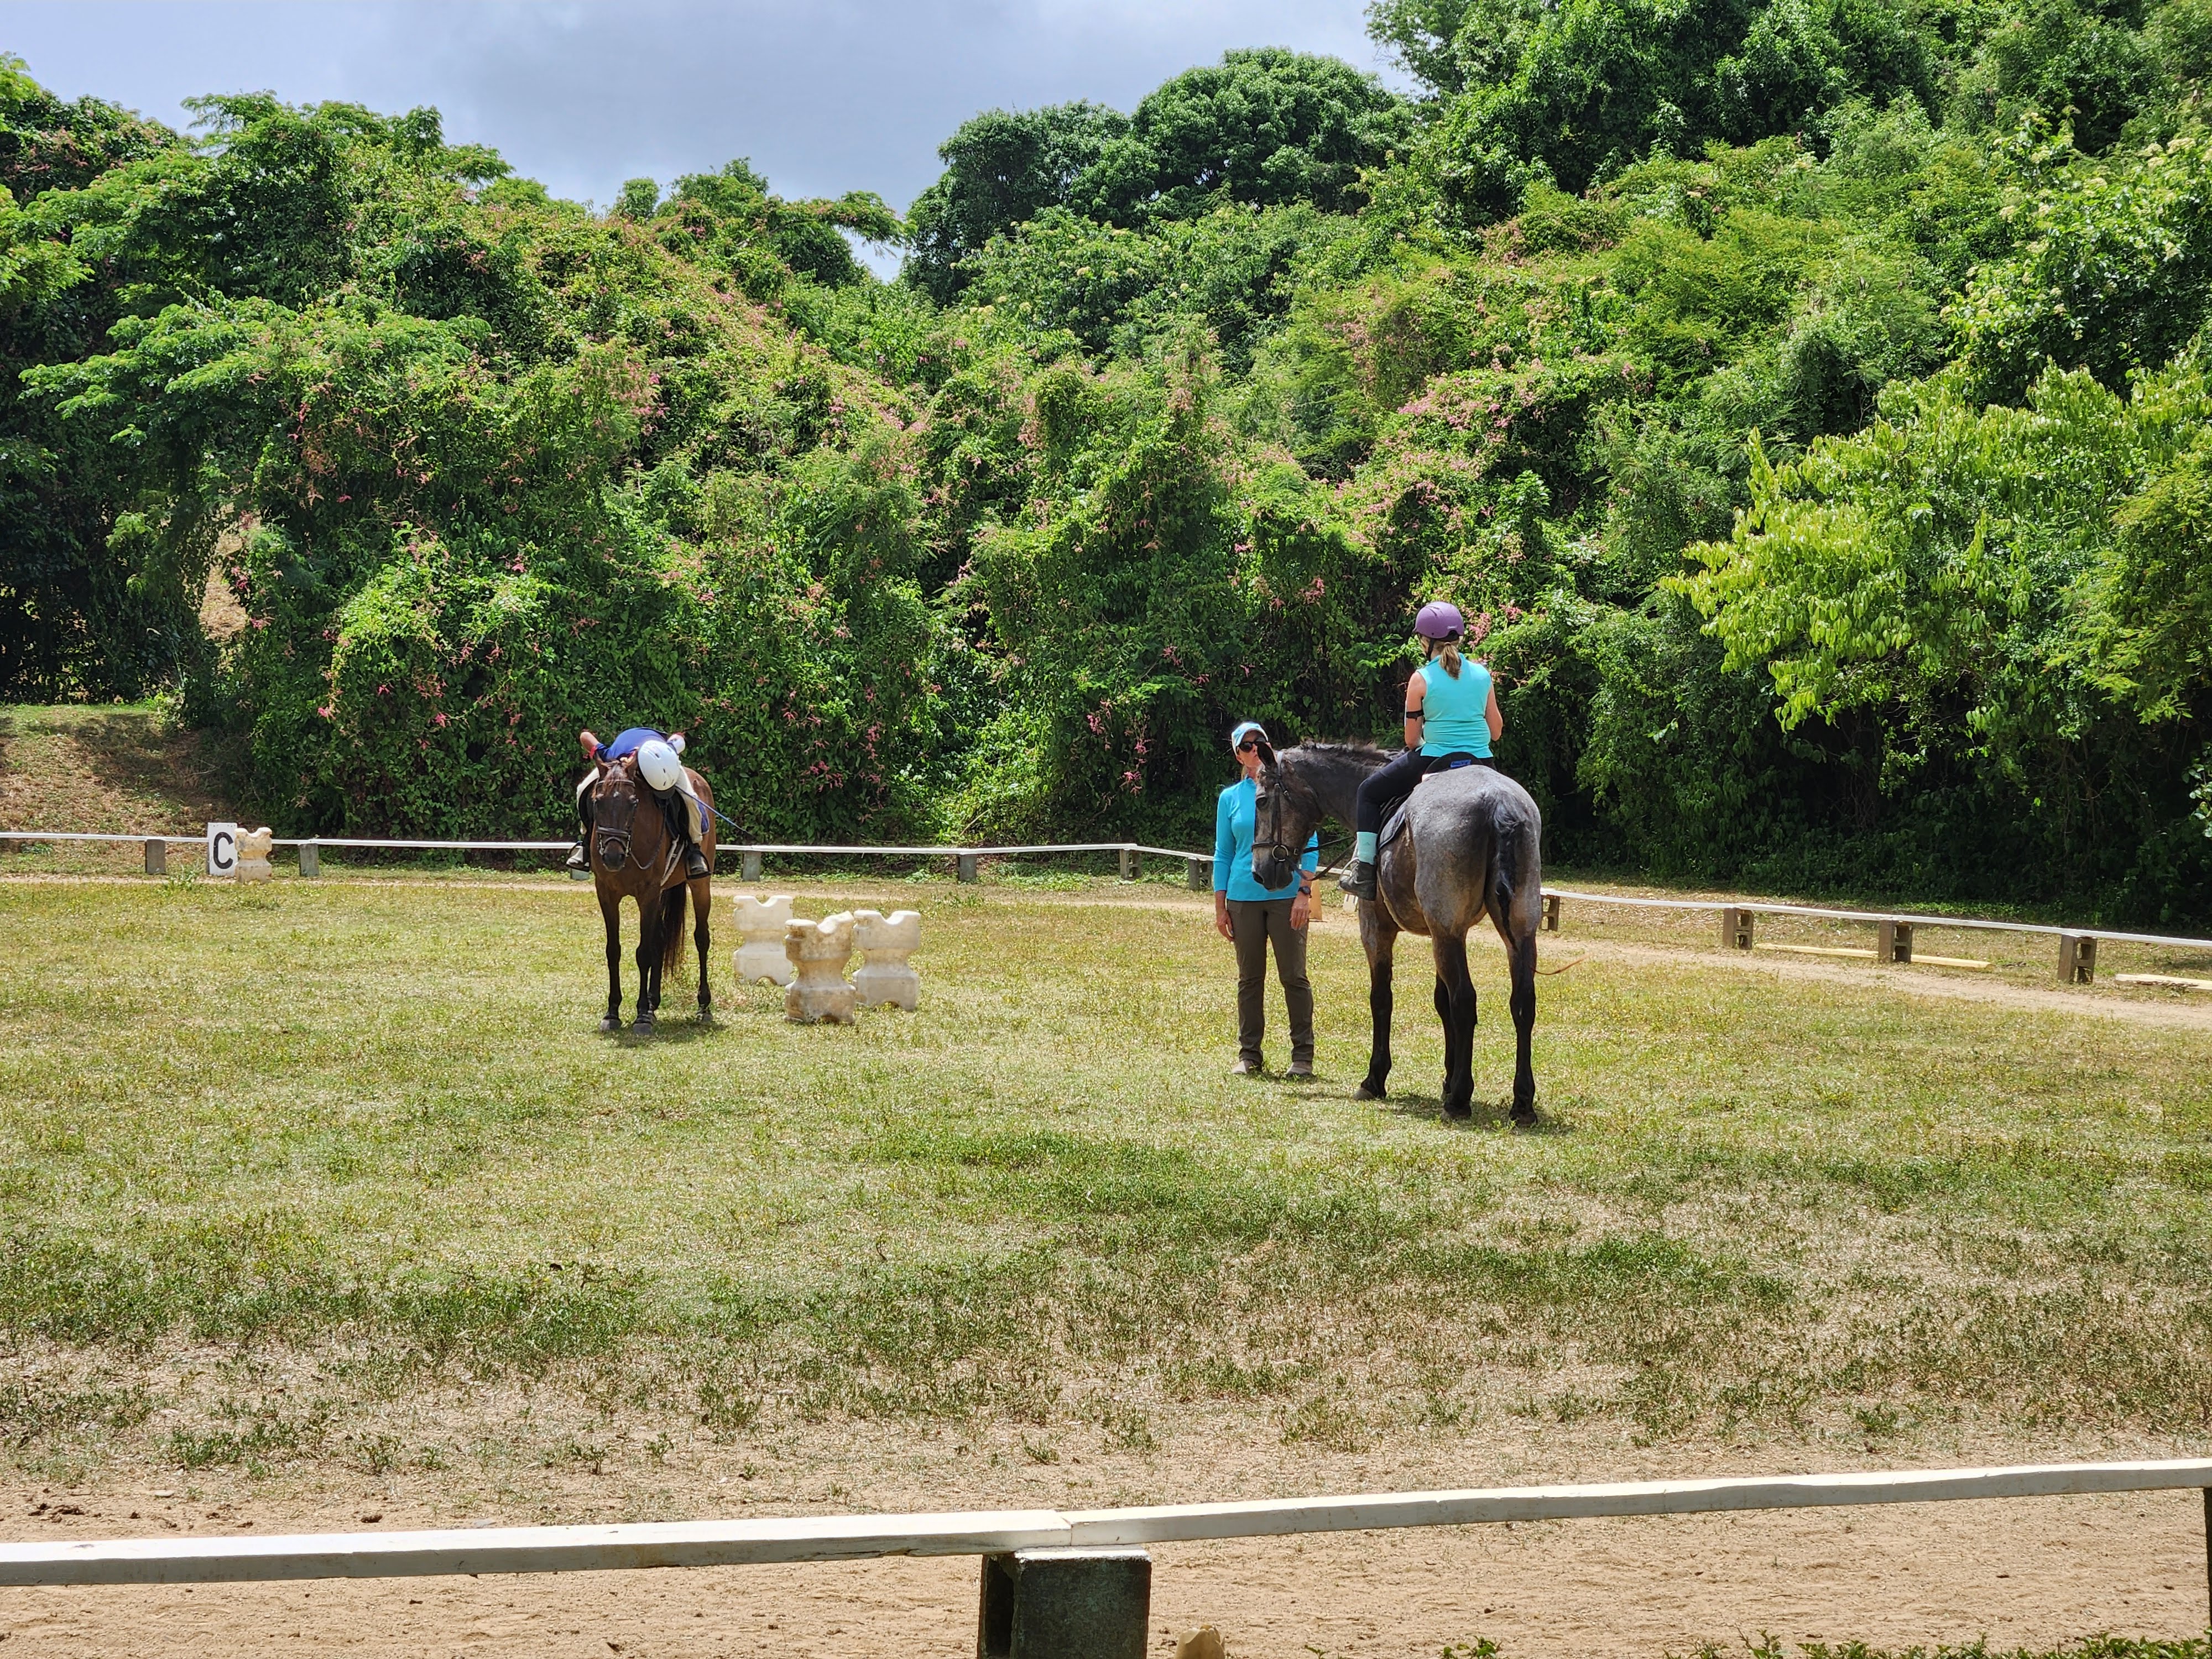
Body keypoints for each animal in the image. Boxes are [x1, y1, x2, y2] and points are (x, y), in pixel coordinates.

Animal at [587, 753, 716, 1033]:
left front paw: (641, 1017)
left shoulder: (648, 894)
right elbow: (614, 951)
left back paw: (704, 1006)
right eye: (598, 802)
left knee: (701, 938)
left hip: (700, 886)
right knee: (660, 937)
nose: (612, 857)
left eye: (633, 803)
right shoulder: (606, 894)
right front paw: (613, 1012)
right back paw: (653, 1004)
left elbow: (644, 952)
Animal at [1249, 739, 1542, 1125]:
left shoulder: (1378, 928)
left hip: (1452, 933)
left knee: (1466, 1001)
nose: (1260, 872)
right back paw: (1521, 1103)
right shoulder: (1444, 931)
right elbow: (1441, 1002)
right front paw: (1447, 1078)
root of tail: (1498, 802)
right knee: (1522, 1003)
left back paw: (1459, 1100)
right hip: (1516, 933)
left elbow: (1382, 999)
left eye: (1261, 801)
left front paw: (1375, 1079)